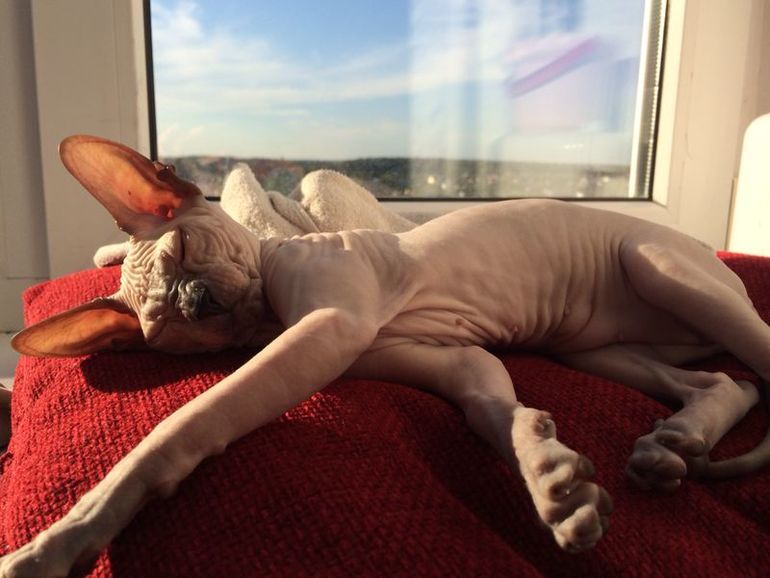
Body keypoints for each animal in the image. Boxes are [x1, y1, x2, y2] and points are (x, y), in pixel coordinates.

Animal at [2, 134, 769, 576]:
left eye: (184, 248)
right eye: (165, 327)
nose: (193, 301)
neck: (274, 299)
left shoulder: (329, 329)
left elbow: (183, 426)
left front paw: (63, 538)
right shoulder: (458, 361)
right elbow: (497, 411)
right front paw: (552, 480)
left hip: (656, 267)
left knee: (755, 362)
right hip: (599, 350)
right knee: (727, 384)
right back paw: (675, 442)